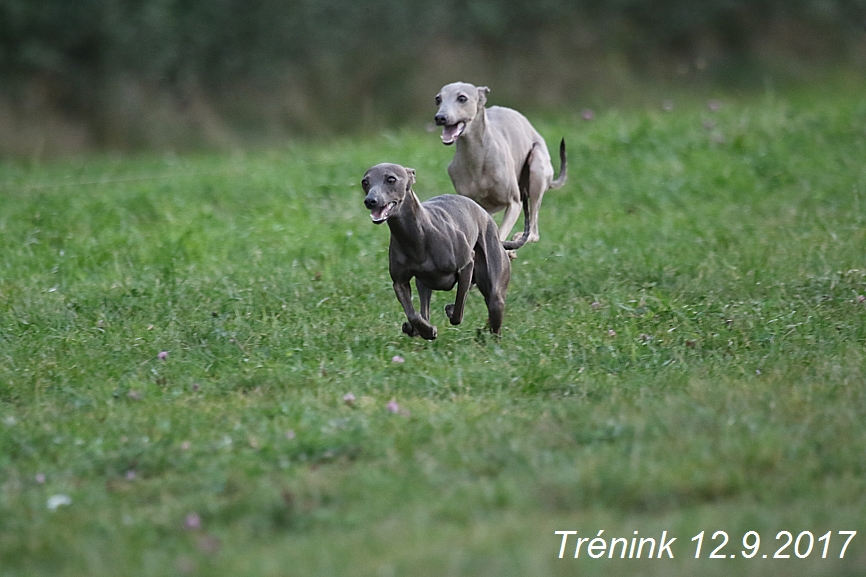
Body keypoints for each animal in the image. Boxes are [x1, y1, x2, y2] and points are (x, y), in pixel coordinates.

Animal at [360, 152, 532, 338]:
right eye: (365, 182)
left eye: (391, 179)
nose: (370, 200)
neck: (417, 236)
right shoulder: (399, 282)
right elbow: (413, 314)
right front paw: (425, 330)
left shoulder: (467, 264)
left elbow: (458, 312)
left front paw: (448, 312)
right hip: (424, 284)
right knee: (424, 309)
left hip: (495, 293)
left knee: (494, 319)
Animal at [432, 81, 568, 243]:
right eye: (438, 99)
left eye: (462, 98)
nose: (440, 117)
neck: (477, 158)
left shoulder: (514, 203)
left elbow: (501, 235)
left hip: (537, 166)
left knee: (534, 233)